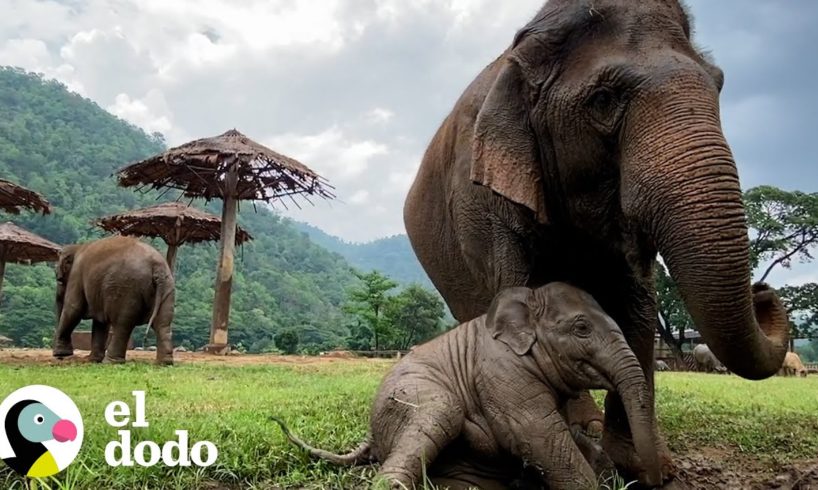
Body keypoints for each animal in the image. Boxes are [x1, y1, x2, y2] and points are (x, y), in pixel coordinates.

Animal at [52, 235, 175, 365]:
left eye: (59, 279)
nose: (60, 359)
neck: (77, 247)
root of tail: (156, 266)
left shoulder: (76, 274)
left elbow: (73, 308)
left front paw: (61, 354)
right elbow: (100, 323)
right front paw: (92, 360)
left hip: (125, 288)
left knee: (122, 324)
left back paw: (111, 361)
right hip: (167, 286)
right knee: (163, 323)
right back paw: (164, 362)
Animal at [275, 283, 662, 489]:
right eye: (581, 328)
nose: (655, 478)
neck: (527, 299)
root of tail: (369, 435)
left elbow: (562, 432)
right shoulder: (501, 372)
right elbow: (537, 434)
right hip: (408, 397)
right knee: (440, 411)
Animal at [402, 0, 790, 484]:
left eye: (719, 85)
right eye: (603, 100)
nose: (764, 291)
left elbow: (637, 305)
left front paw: (643, 466)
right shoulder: (483, 198)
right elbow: (513, 290)